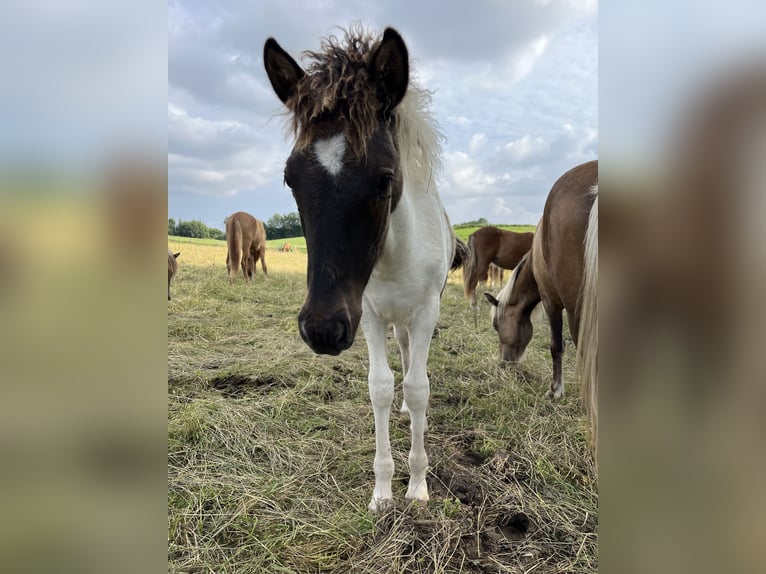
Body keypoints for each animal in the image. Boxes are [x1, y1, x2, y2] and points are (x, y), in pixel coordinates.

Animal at [264, 25, 457, 512]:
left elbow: (419, 386)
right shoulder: (367, 313)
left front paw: (418, 485)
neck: (392, 259)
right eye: (290, 179)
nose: (322, 329)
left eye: (385, 178)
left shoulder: (426, 312)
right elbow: (381, 387)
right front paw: (383, 490)